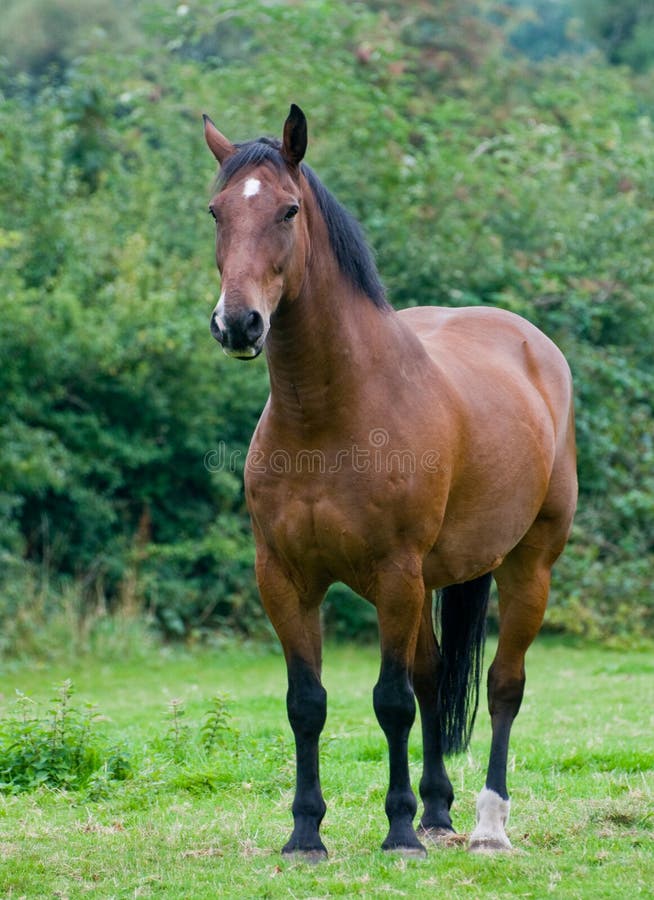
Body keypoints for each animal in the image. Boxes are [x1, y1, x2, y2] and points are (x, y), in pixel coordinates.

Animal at [202, 103, 576, 856]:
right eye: (216, 211)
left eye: (288, 210)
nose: (239, 323)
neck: (326, 417)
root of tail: (534, 347)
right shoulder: (283, 578)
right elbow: (308, 703)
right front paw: (306, 834)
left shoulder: (394, 574)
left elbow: (391, 701)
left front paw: (398, 829)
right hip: (435, 579)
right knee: (435, 680)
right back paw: (438, 812)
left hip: (528, 566)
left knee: (503, 685)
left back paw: (487, 824)